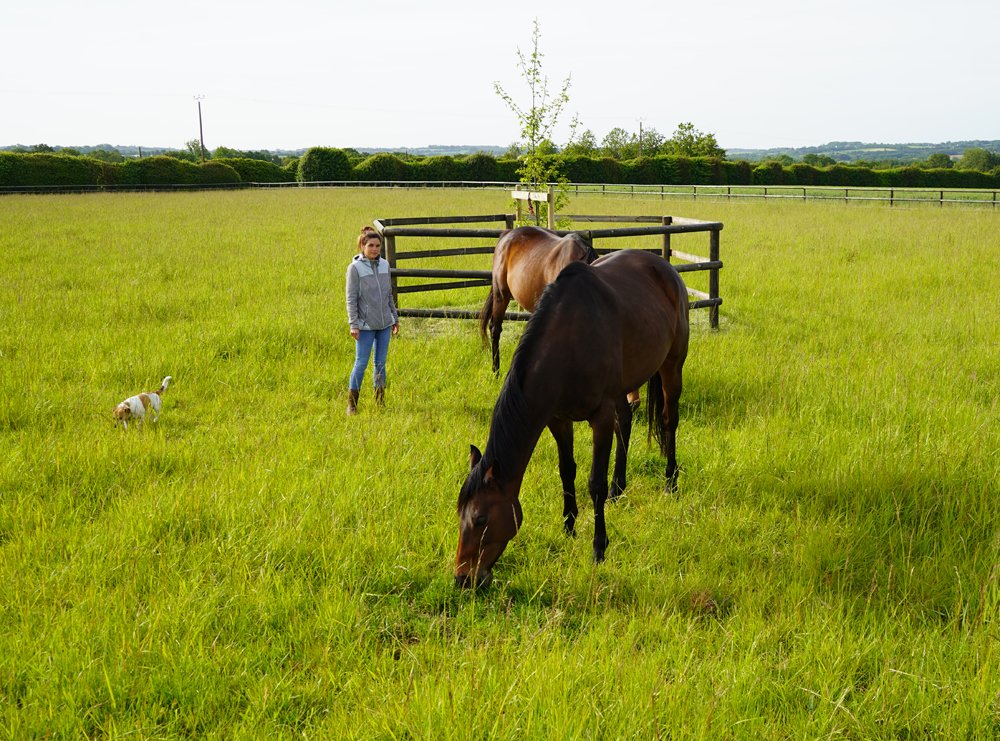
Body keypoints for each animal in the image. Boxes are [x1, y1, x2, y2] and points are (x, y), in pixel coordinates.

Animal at [456, 249, 690, 588]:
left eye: (481, 518)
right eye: (459, 514)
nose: (462, 578)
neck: (568, 342)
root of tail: (665, 267)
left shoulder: (599, 417)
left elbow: (595, 482)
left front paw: (598, 548)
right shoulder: (557, 418)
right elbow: (566, 471)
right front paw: (568, 527)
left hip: (672, 365)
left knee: (669, 420)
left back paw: (670, 482)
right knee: (626, 422)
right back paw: (619, 487)